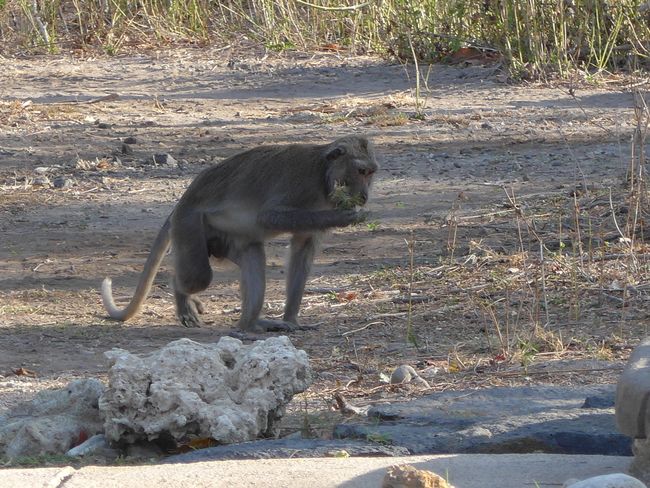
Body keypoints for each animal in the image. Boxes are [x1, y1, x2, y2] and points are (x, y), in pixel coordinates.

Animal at [100, 135, 374, 334]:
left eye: (370, 173)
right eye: (361, 172)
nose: (364, 196)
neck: (322, 176)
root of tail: (181, 203)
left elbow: (303, 246)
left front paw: (291, 319)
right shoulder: (301, 184)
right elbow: (268, 216)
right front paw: (346, 217)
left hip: (224, 240)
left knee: (254, 256)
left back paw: (251, 325)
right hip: (189, 224)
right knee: (197, 277)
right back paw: (181, 292)